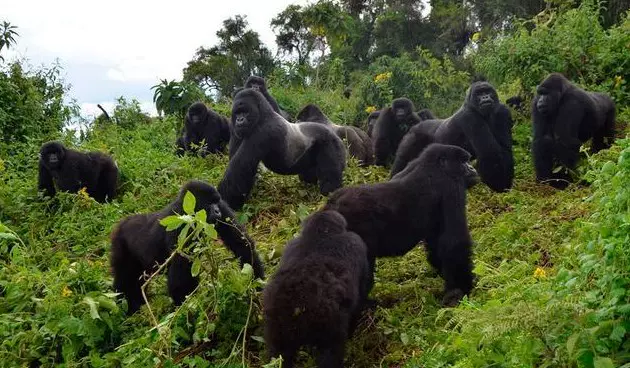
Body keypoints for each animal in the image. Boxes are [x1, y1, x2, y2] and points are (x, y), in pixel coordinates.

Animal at [111, 180, 264, 314]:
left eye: (216, 202)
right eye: (209, 203)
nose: (217, 211)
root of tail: (121, 224)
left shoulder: (223, 208)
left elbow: (241, 244)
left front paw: (256, 281)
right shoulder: (181, 225)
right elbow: (181, 272)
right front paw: (185, 309)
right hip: (119, 242)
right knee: (124, 280)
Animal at [217, 88, 346, 210]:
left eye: (245, 112)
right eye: (237, 113)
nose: (239, 120)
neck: (264, 114)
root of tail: (334, 133)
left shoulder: (264, 131)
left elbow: (240, 168)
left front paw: (225, 203)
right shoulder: (234, 128)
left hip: (332, 142)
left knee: (330, 176)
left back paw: (330, 194)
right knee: (307, 175)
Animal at [262, 210, 370, 368]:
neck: (322, 234)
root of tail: (297, 305)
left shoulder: (291, 244)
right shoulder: (356, 242)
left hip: (277, 322)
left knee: (279, 355)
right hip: (327, 325)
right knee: (330, 353)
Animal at [326, 144, 478, 308]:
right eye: (463, 162)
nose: (472, 168)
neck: (434, 165)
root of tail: (332, 204)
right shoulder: (451, 186)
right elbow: (455, 241)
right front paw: (460, 290)